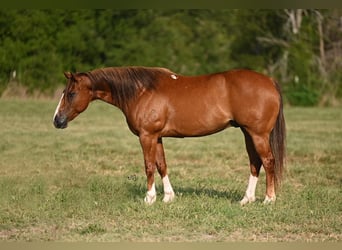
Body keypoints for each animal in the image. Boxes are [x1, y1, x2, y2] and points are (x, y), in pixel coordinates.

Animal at [52, 66, 286, 205]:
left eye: (71, 93)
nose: (57, 121)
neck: (142, 91)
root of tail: (270, 81)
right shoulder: (157, 137)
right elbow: (161, 165)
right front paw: (168, 197)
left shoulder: (146, 136)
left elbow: (148, 166)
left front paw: (149, 198)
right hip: (248, 133)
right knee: (255, 163)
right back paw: (246, 199)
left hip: (258, 135)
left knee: (268, 161)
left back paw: (269, 199)